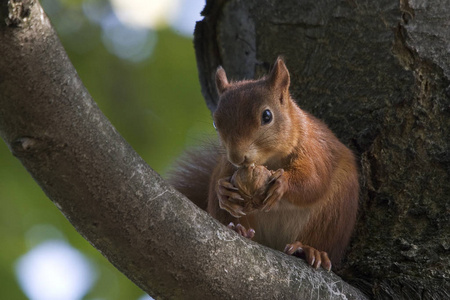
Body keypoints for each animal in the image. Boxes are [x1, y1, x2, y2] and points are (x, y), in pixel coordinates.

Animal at [169, 57, 358, 270]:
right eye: (216, 123)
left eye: (267, 116)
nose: (237, 156)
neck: (270, 160)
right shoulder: (226, 166)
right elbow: (221, 183)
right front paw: (222, 191)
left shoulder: (315, 151)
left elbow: (314, 181)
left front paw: (282, 184)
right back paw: (240, 229)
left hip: (333, 213)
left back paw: (308, 249)